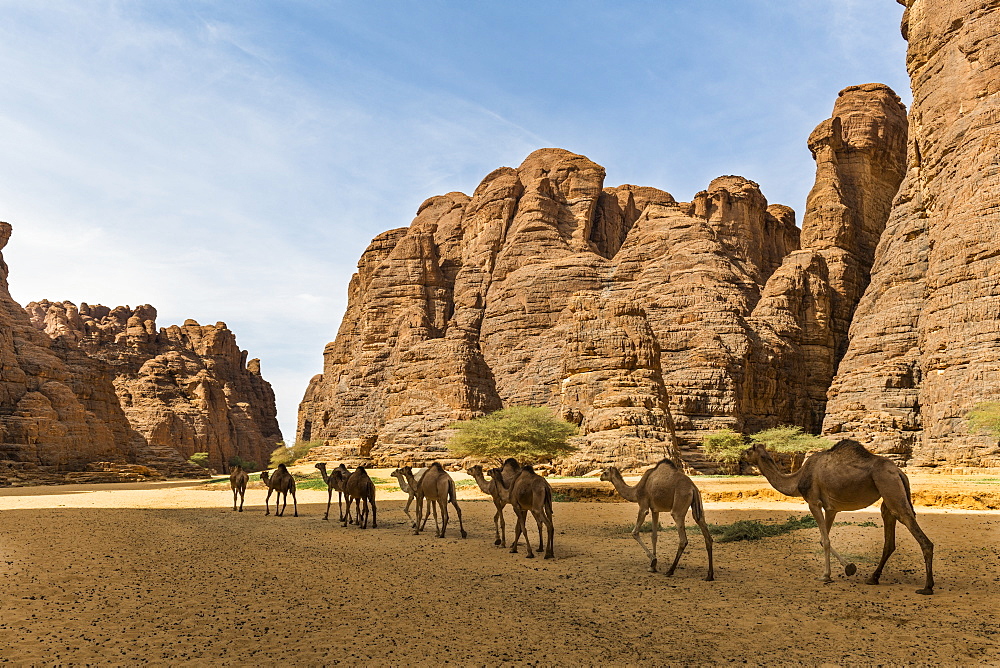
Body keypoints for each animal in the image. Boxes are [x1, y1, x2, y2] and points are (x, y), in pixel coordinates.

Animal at [748, 438, 932, 596]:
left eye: (749, 449)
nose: (743, 453)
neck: (798, 478)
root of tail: (900, 472)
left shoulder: (813, 502)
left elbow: (825, 540)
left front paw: (826, 576)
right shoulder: (831, 509)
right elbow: (823, 539)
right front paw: (849, 567)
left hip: (889, 484)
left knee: (916, 530)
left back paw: (927, 587)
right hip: (888, 494)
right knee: (889, 535)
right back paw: (873, 578)